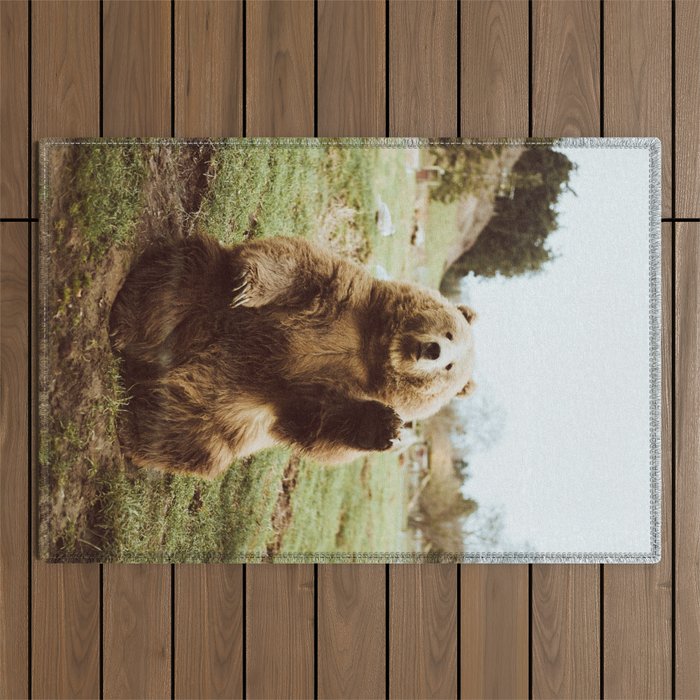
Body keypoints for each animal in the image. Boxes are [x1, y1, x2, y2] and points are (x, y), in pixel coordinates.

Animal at [109, 233, 477, 478]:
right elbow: (295, 266)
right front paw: (246, 286)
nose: (432, 349)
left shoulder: (322, 389)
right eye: (450, 334)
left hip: (226, 410)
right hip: (206, 297)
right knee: (179, 279)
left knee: (189, 433)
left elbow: (318, 425)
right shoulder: (341, 296)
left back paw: (140, 427)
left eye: (449, 366)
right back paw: (127, 327)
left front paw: (390, 428)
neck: (372, 348)